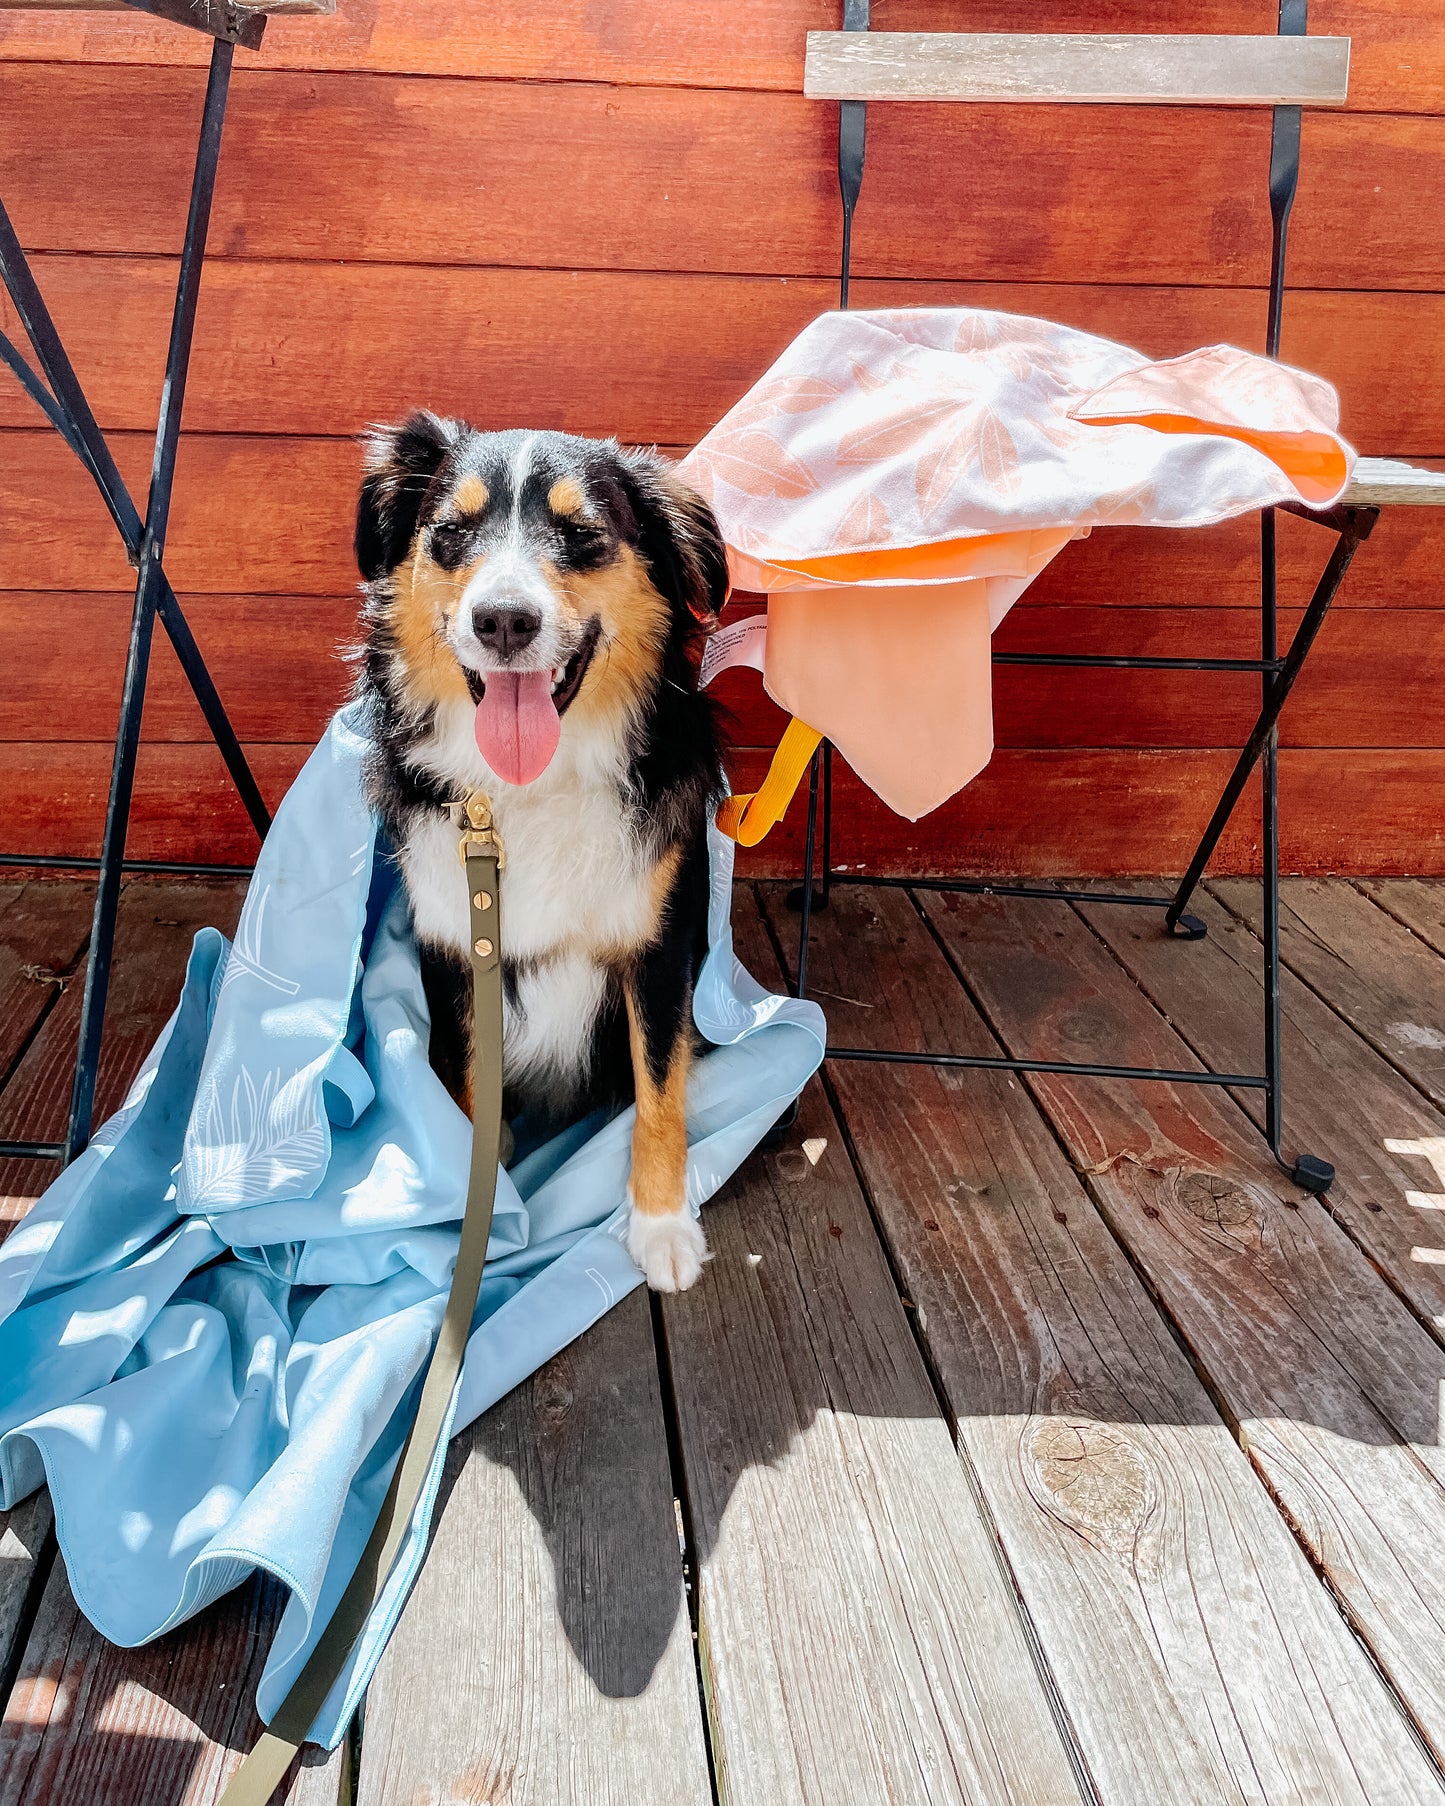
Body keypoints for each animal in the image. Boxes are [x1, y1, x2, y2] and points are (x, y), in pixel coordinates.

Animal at [355, 415, 729, 1293]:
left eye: (583, 534)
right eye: (450, 532)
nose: (502, 620)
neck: (530, 787)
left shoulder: (660, 944)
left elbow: (659, 1091)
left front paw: (661, 1225)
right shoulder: (455, 949)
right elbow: (466, 1086)